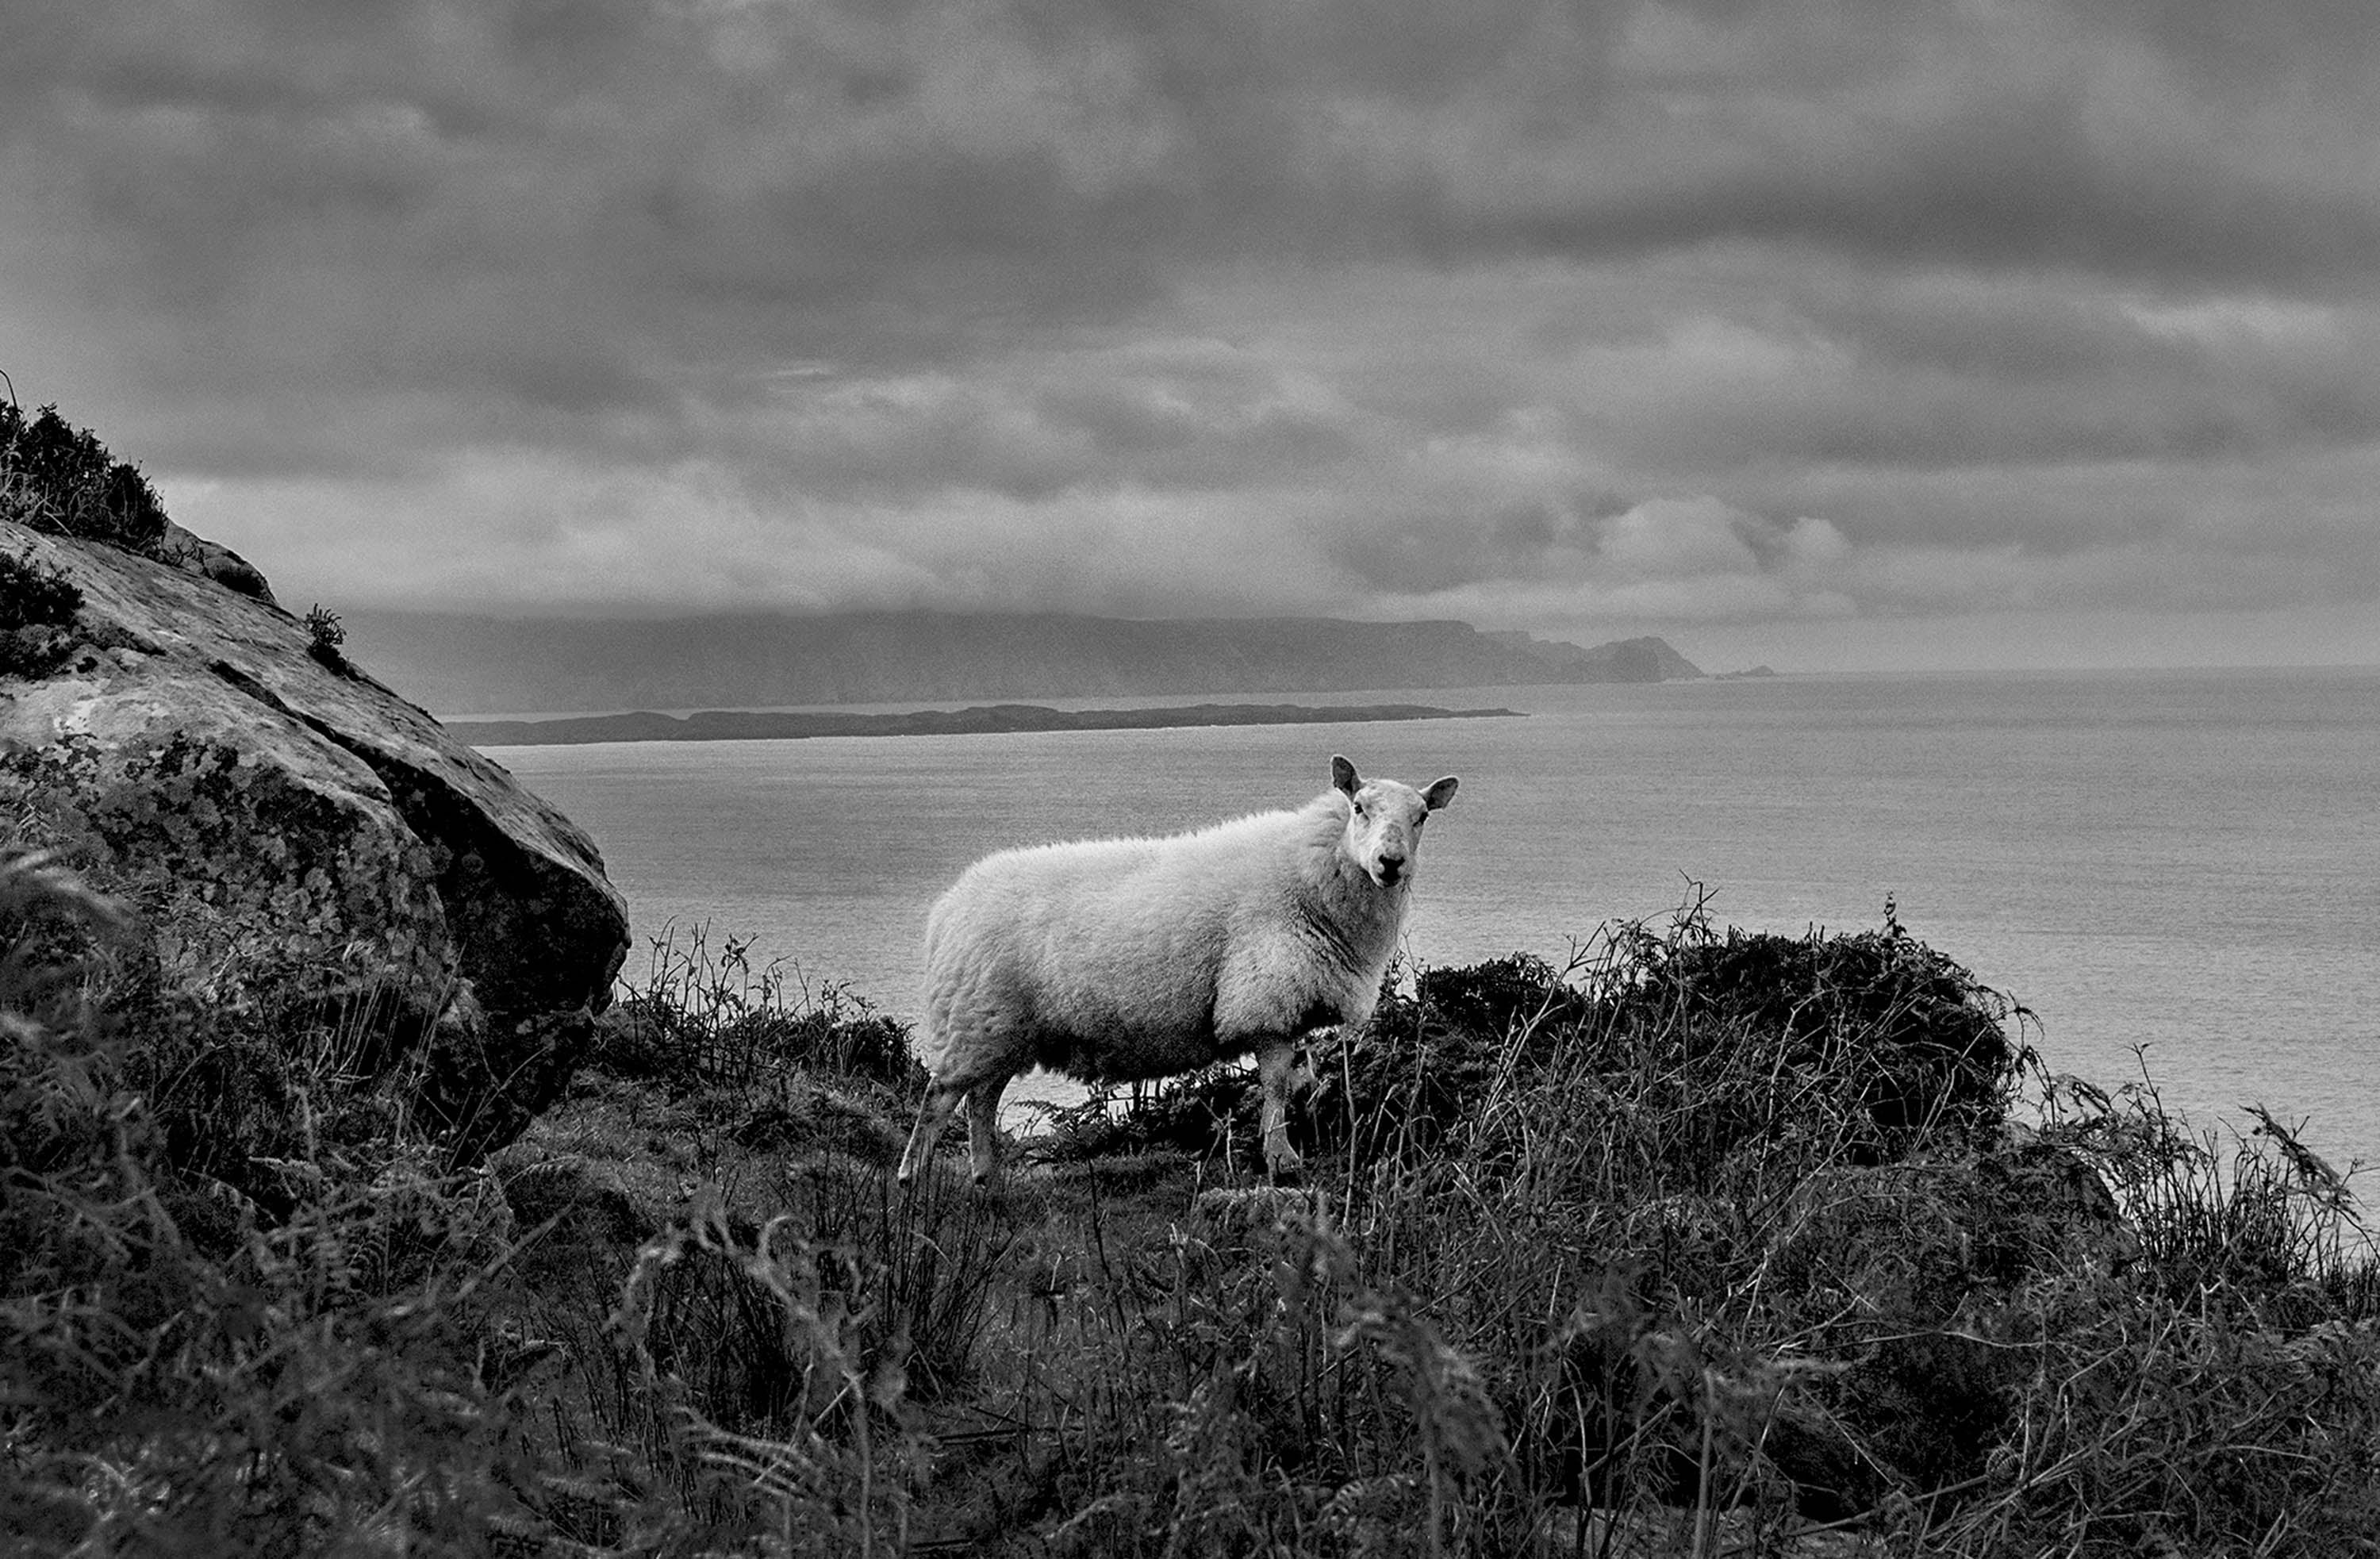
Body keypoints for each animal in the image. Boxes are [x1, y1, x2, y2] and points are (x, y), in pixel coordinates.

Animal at [896, 754, 1460, 1186]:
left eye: (1422, 817)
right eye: (1359, 808)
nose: (1390, 863)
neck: (1313, 874)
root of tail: (949, 906)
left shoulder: (1289, 1003)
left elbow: (1293, 1082)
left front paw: (1278, 1152)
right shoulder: (1264, 998)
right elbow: (1277, 1086)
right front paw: (1281, 1160)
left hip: (1002, 1029)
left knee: (982, 1100)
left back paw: (986, 1178)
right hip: (976, 1018)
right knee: (940, 1097)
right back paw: (912, 1177)